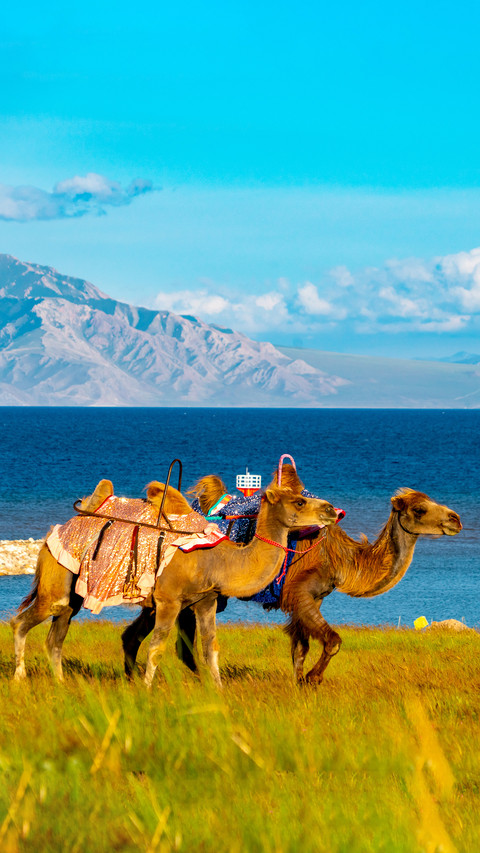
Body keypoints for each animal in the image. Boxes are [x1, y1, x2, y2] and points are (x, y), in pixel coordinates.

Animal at [12, 478, 338, 685]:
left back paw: (60, 682)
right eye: (299, 501)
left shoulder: (206, 600)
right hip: (56, 577)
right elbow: (157, 647)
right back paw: (19, 677)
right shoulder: (168, 600)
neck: (217, 559)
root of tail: (52, 533)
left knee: (56, 634)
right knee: (23, 621)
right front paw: (146, 690)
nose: (331, 510)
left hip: (73, 594)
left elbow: (210, 648)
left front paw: (218, 692)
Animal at [164, 465, 462, 685]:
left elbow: (300, 648)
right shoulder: (300, 592)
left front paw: (299, 684)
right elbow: (333, 641)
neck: (339, 559)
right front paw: (312, 678)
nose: (455, 519)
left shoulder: (313, 598)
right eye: (419, 509)